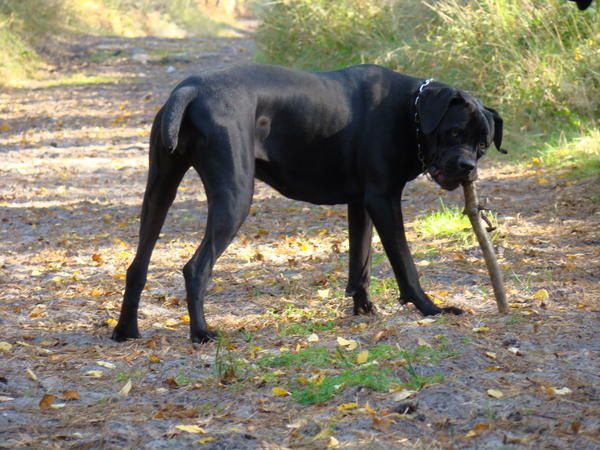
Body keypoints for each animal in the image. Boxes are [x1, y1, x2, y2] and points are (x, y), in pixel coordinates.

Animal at [111, 63, 502, 342]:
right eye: (453, 132)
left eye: (482, 145)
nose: (467, 167)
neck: (413, 110)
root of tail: (189, 88)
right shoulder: (384, 200)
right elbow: (404, 264)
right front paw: (429, 308)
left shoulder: (361, 204)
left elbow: (360, 262)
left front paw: (363, 308)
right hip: (234, 195)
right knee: (196, 267)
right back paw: (201, 332)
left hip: (159, 190)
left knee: (137, 265)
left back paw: (126, 330)